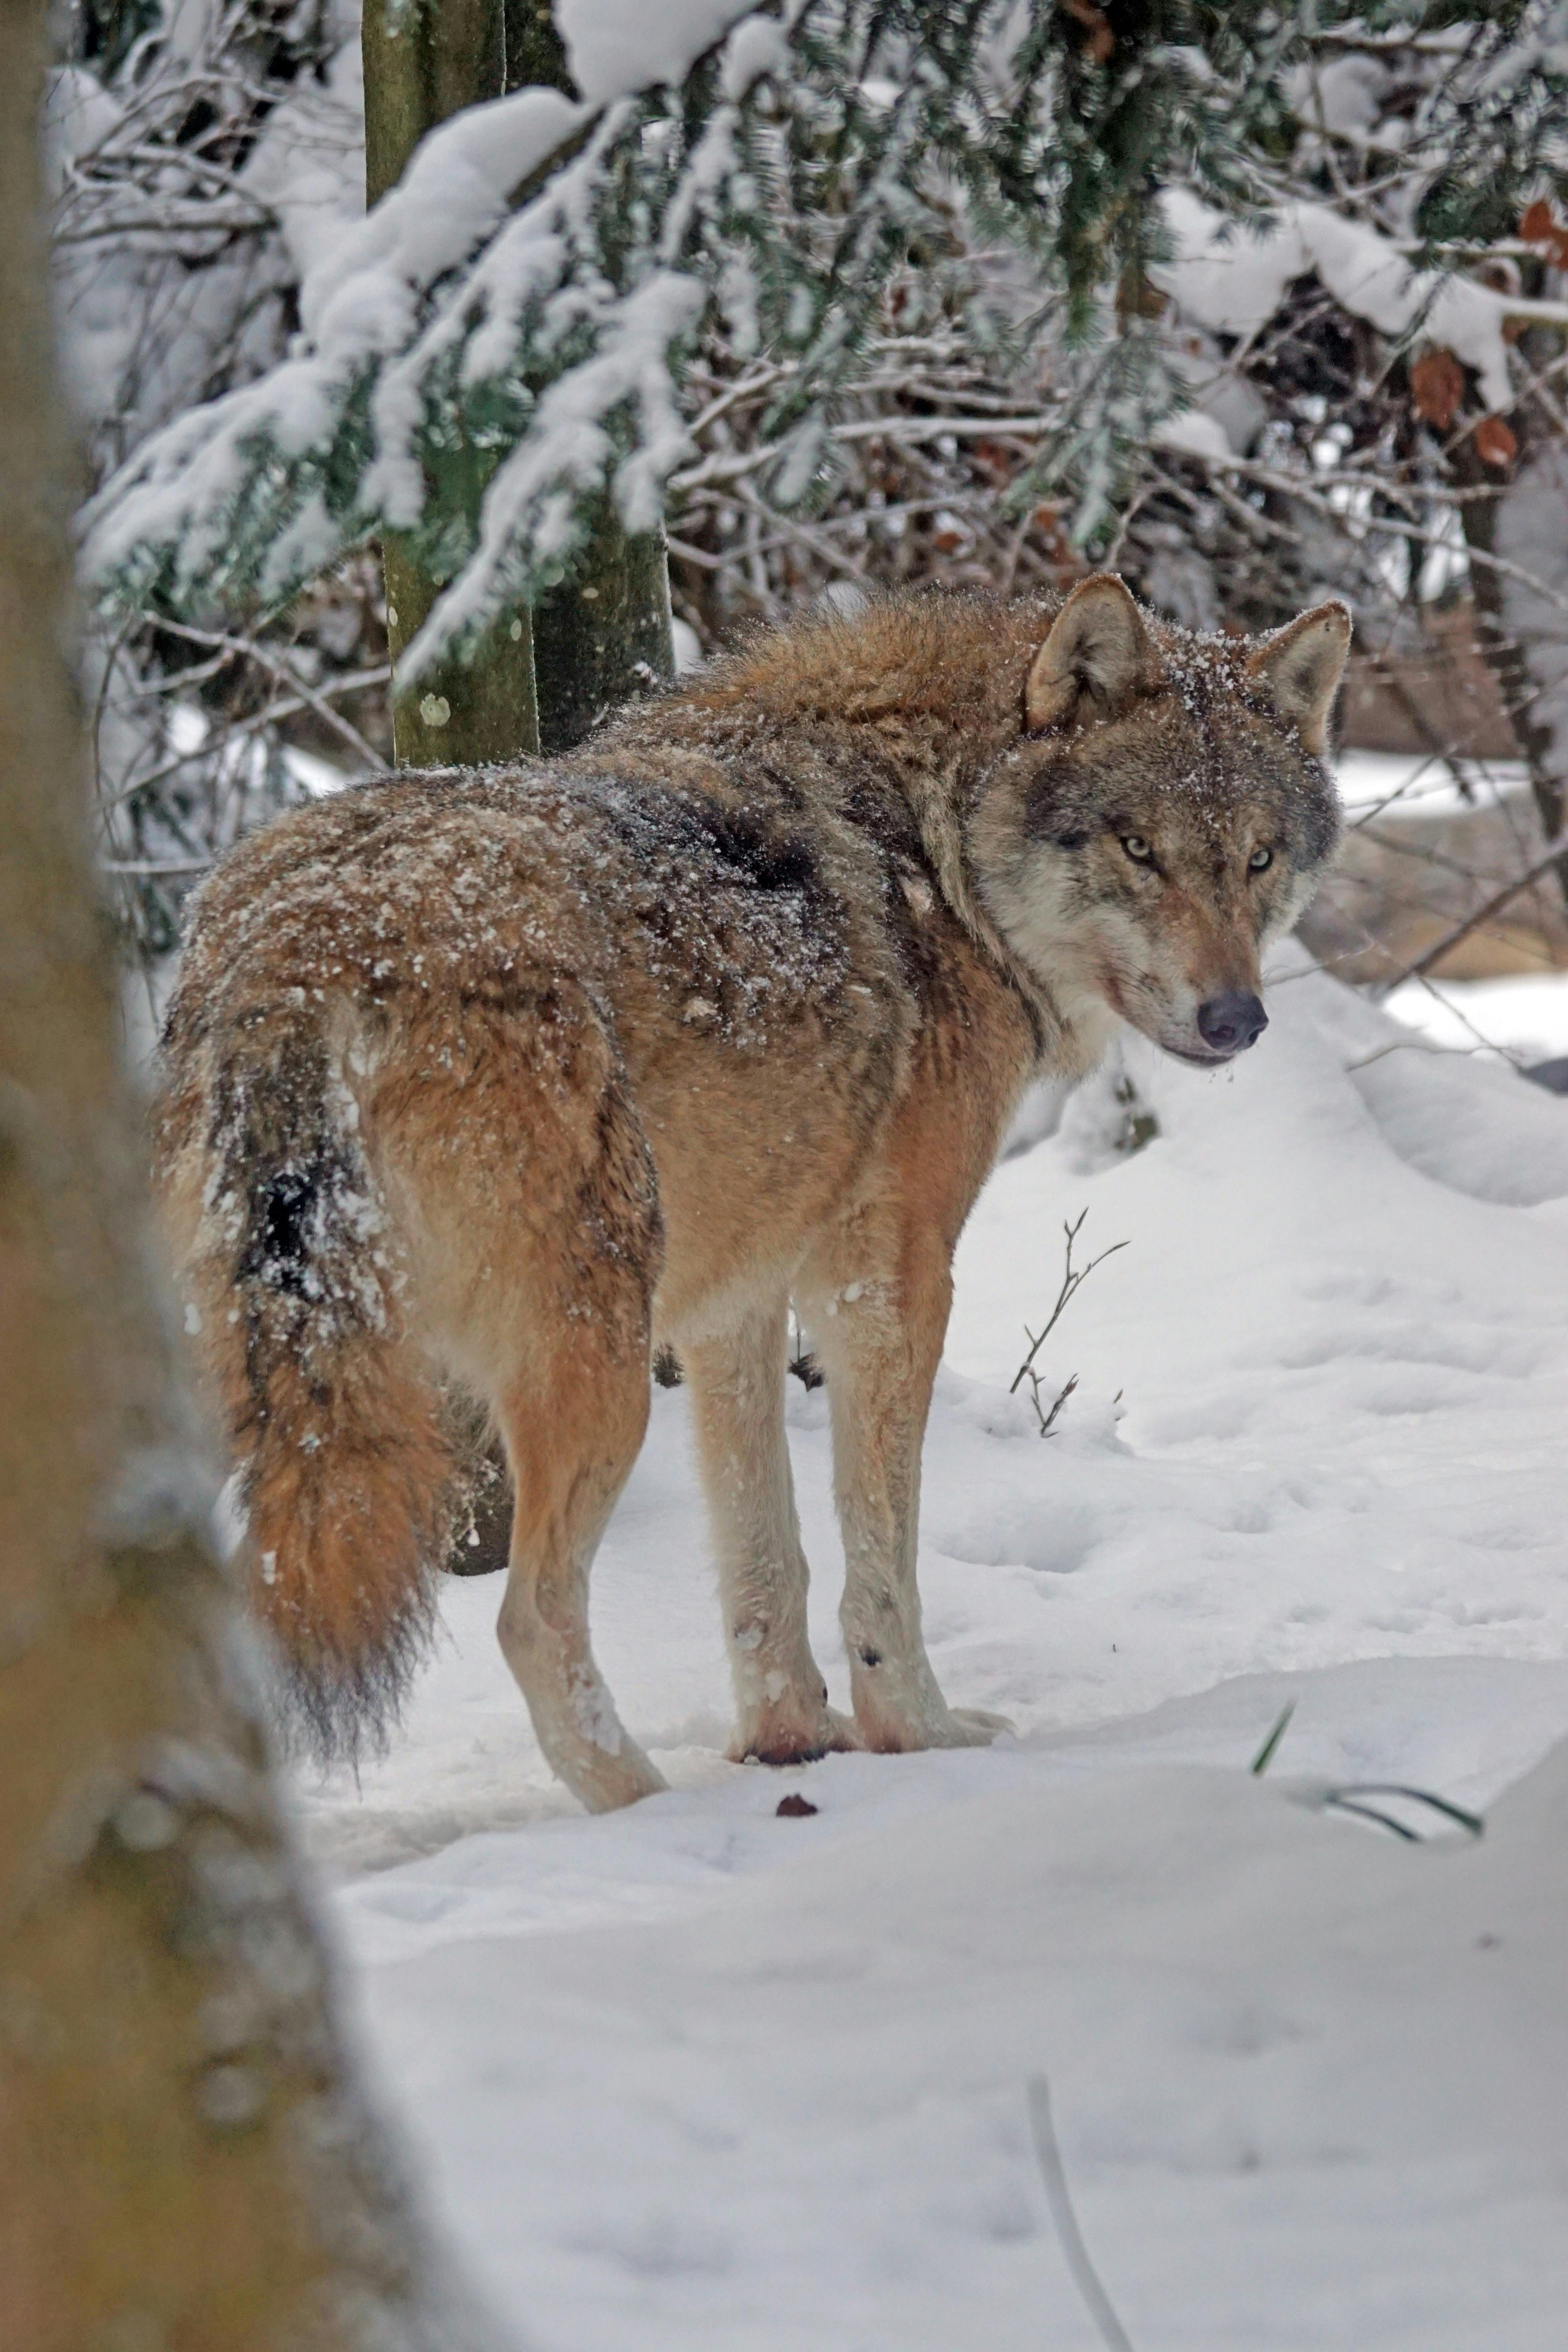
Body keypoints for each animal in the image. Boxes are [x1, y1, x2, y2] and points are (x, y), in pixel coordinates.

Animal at [156, 574, 1354, 1816]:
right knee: (531, 1621)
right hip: (594, 1370)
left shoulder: (735, 1303)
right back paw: (642, 1805)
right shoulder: (887, 1282)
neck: (940, 848)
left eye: (1257, 859)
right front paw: (917, 1735)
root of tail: (300, 949)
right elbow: (880, 1561)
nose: (1236, 1020)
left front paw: (788, 1741)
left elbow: (764, 1557)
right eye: (1138, 849)